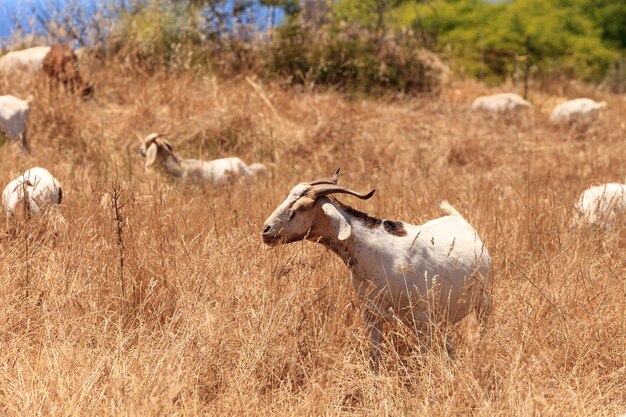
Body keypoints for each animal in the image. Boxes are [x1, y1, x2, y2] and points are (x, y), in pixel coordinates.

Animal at [260, 167, 490, 368]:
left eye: (303, 207)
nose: (266, 230)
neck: (378, 254)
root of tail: (461, 221)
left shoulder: (422, 320)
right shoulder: (372, 314)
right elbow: (375, 355)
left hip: (483, 304)